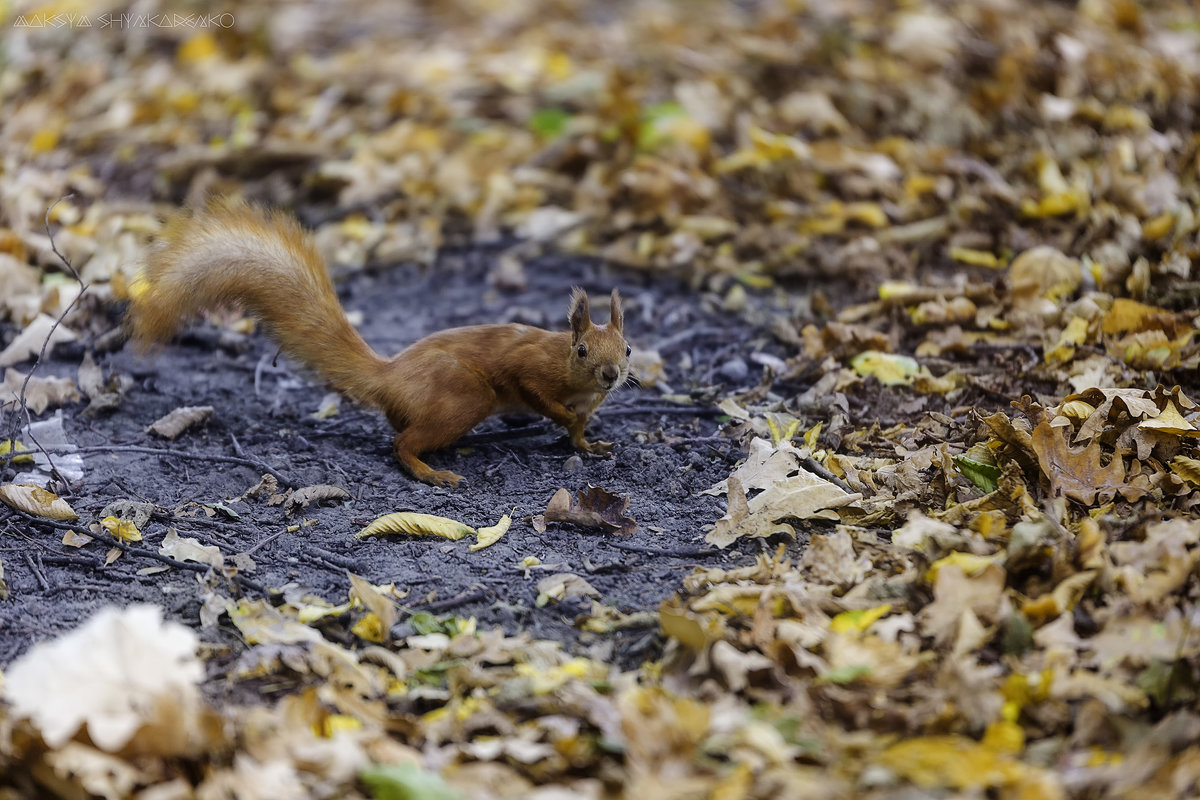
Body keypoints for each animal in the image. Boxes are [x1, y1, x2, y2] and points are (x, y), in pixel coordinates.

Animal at [130, 200, 633, 489]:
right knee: (402, 442)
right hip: (466, 397)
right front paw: (563, 416)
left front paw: (589, 443)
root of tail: (389, 376)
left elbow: (579, 431)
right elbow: (537, 393)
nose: (611, 376)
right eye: (582, 351)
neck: (578, 382)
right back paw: (430, 471)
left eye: (628, 349)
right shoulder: (530, 368)